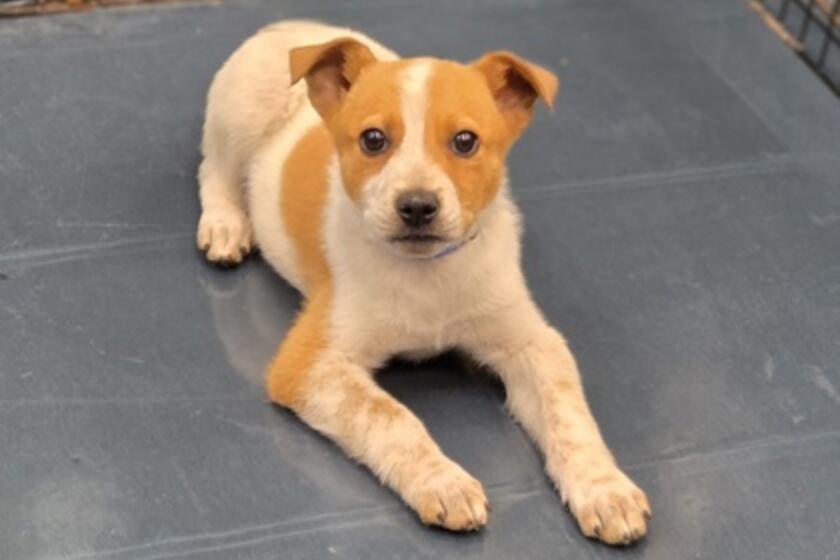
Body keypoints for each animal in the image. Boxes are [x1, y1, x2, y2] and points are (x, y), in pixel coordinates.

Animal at [196, 20, 650, 545]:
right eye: (373, 139)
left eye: (466, 141)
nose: (416, 206)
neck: (427, 275)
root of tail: (286, 26)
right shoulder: (310, 365)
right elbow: (393, 418)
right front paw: (443, 482)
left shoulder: (532, 344)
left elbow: (569, 415)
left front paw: (605, 488)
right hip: (236, 117)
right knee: (214, 169)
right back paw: (226, 225)